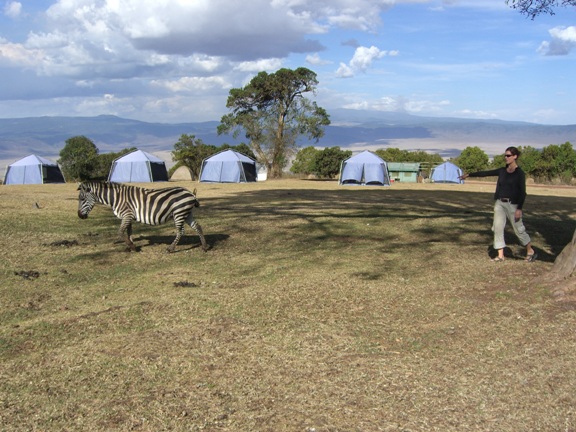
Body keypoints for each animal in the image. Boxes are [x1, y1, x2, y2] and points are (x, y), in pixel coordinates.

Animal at [77, 181, 208, 253]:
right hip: (187, 213)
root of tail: (191, 193)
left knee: (181, 231)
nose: (79, 216)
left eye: (82, 199)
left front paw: (132, 247)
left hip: (179, 213)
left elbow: (120, 232)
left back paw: (170, 249)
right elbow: (128, 232)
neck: (116, 198)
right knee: (198, 227)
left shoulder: (127, 215)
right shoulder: (129, 216)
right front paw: (130, 246)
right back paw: (205, 247)